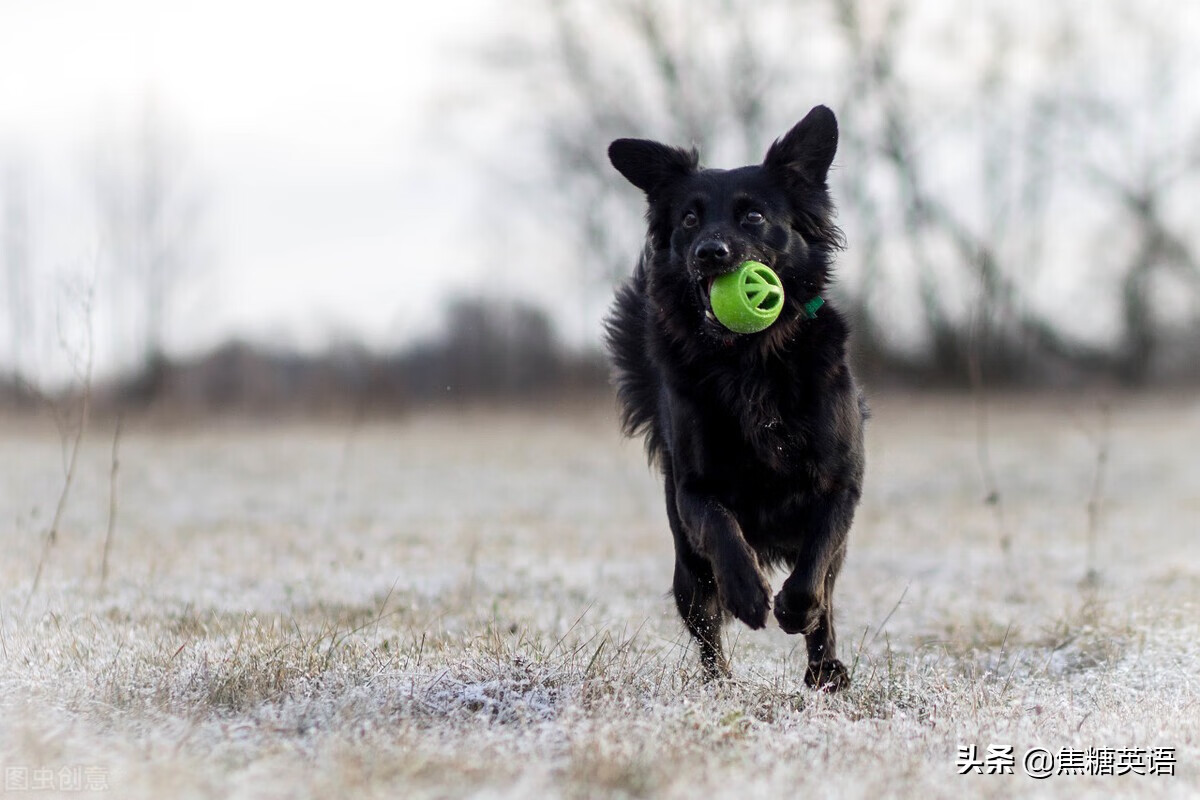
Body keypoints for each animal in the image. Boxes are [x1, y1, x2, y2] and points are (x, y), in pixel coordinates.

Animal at [604, 106, 868, 690]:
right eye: (688, 220)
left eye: (753, 216)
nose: (711, 252)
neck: (749, 360)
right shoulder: (694, 490)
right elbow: (722, 528)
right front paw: (748, 594)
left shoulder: (840, 482)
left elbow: (816, 564)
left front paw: (795, 609)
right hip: (687, 567)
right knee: (705, 624)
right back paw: (720, 683)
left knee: (827, 593)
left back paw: (825, 669)